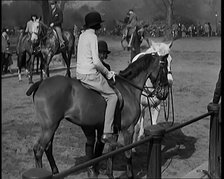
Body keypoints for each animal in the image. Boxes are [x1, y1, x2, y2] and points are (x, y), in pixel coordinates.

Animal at [26, 50, 170, 179]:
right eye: (164, 68)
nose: (165, 92)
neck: (128, 88)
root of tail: (42, 83)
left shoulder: (114, 130)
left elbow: (111, 152)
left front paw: (109, 174)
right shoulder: (128, 129)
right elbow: (128, 153)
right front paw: (130, 175)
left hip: (52, 127)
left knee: (47, 147)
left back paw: (56, 172)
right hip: (49, 127)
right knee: (38, 149)